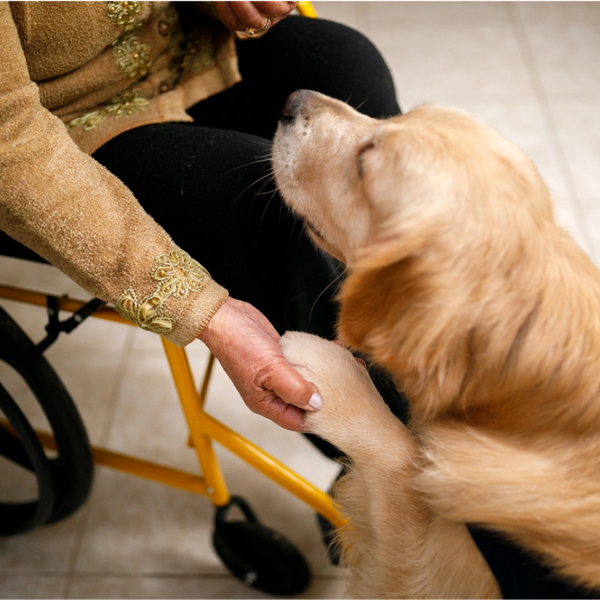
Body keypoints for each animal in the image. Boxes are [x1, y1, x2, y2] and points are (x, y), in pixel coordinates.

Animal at [270, 90, 600, 600]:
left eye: (365, 164)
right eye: (395, 117)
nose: (293, 99)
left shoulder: (437, 576)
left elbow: (403, 459)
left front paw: (330, 373)